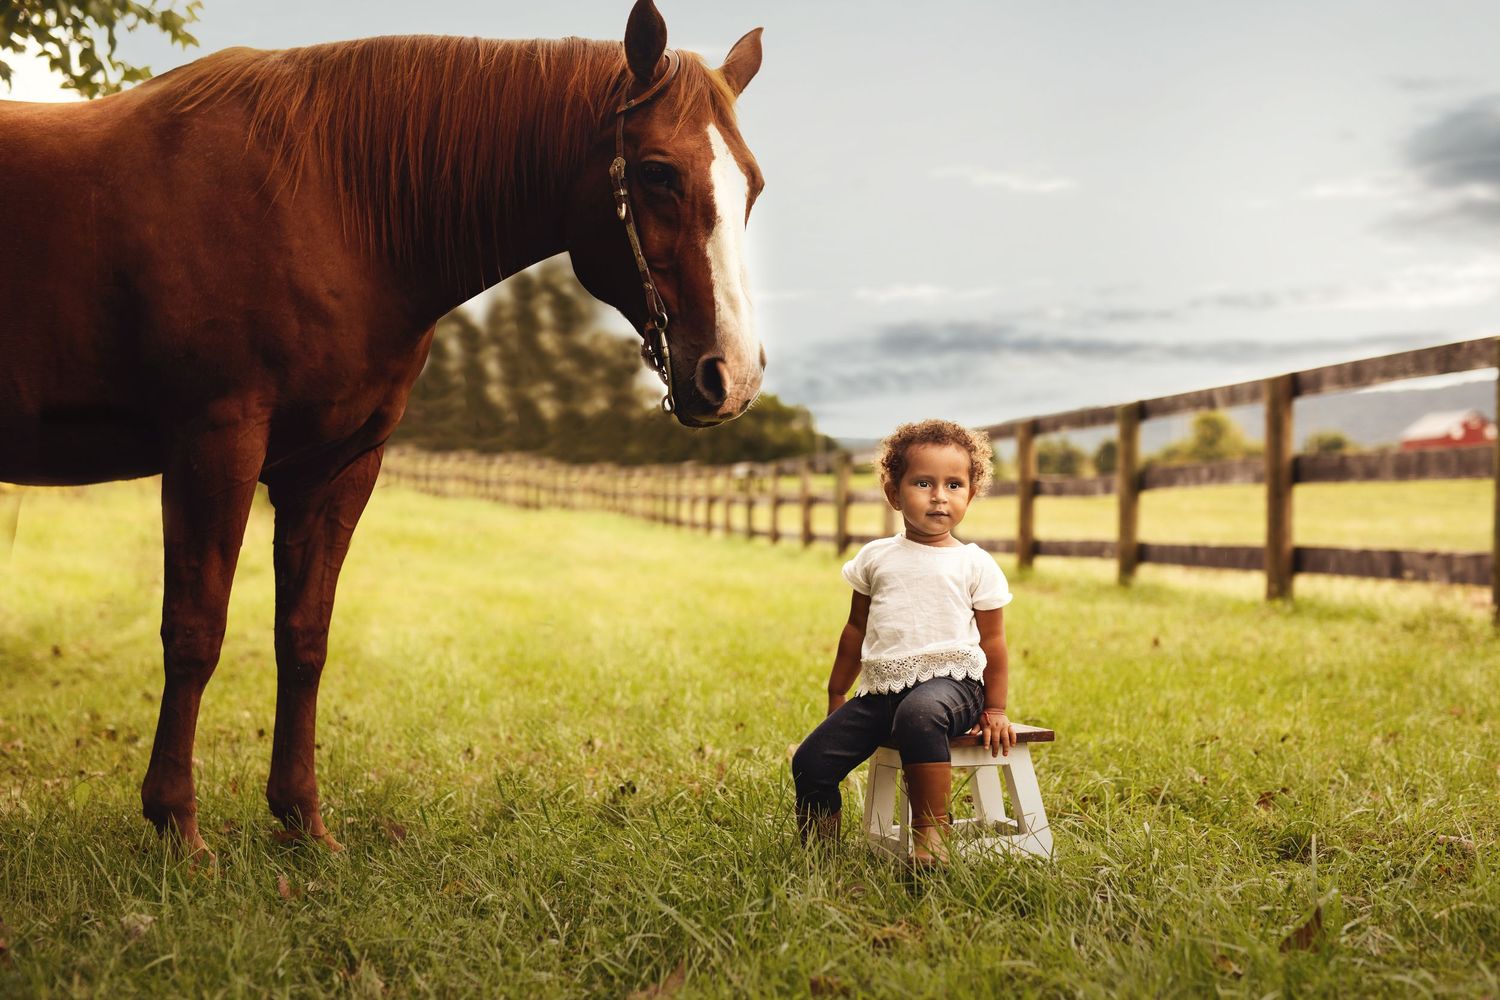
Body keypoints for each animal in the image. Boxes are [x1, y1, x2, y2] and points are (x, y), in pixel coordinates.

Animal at [0, 0, 765, 858]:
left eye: (752, 186)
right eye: (660, 172)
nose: (731, 376)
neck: (327, 198)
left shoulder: (337, 464)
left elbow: (304, 636)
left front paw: (302, 821)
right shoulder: (214, 441)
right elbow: (195, 631)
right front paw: (178, 830)